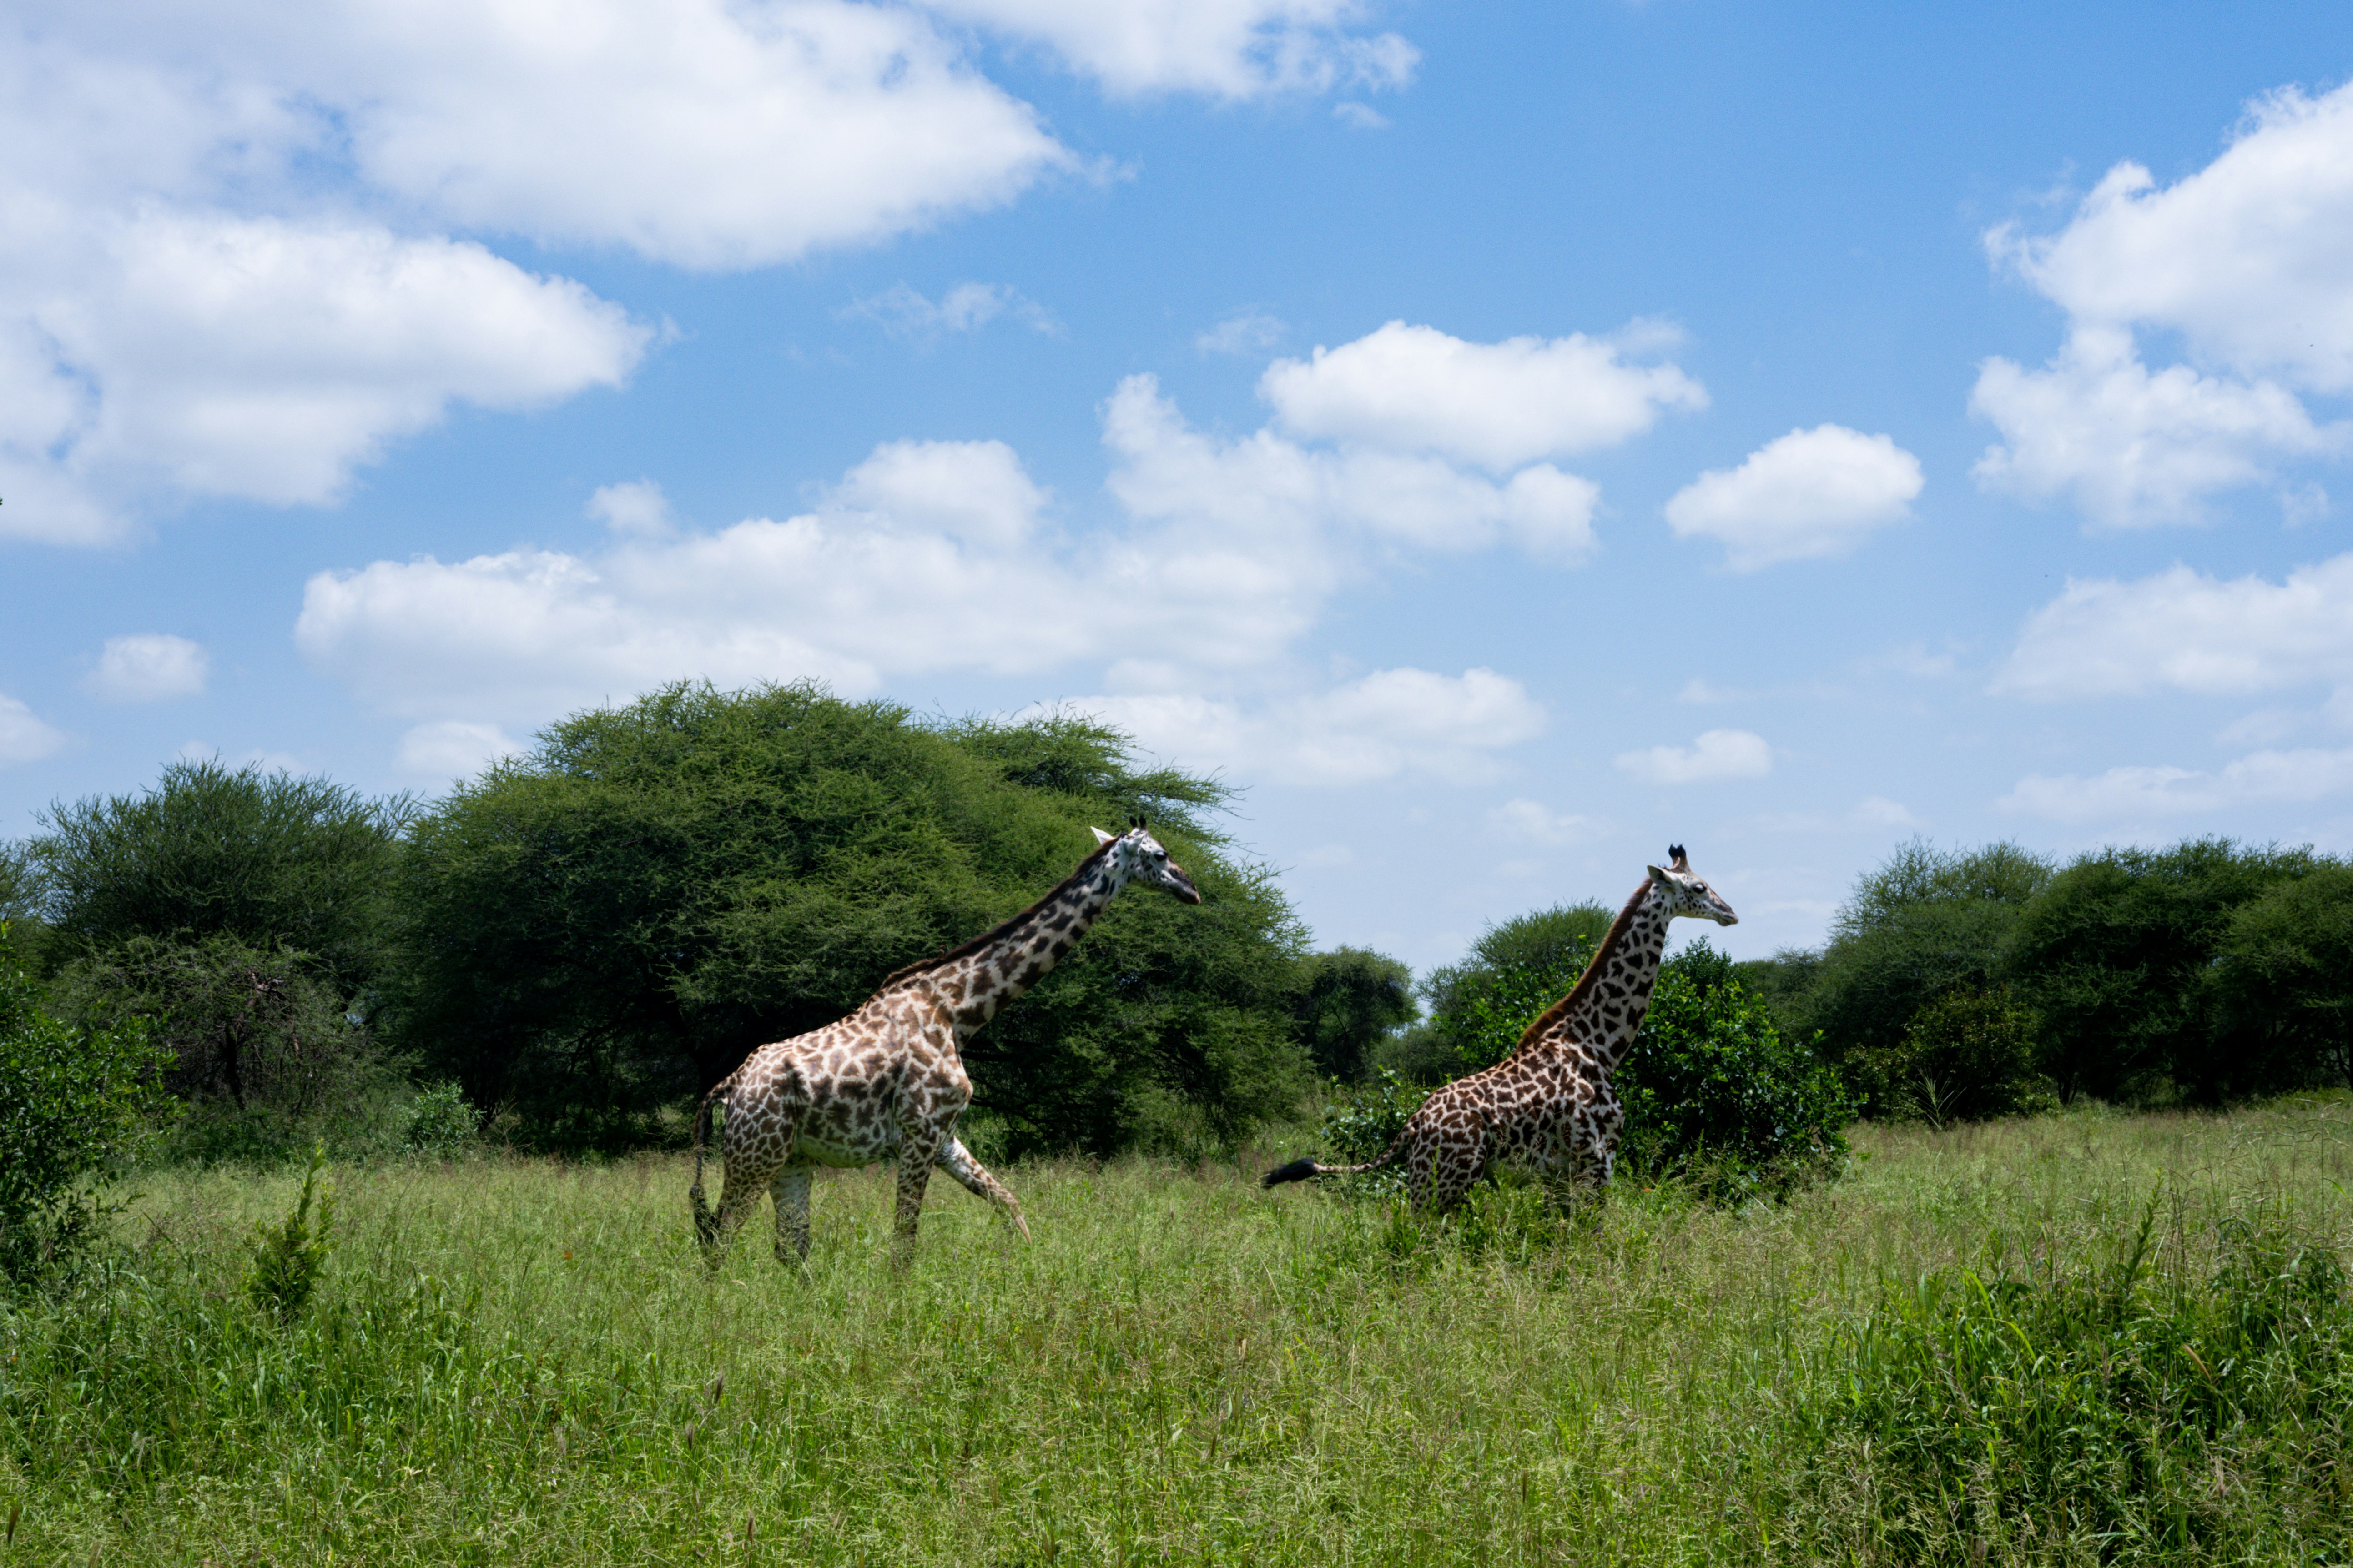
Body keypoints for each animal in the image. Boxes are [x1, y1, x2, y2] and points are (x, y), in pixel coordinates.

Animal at [690, 821, 1201, 1266]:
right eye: (1161, 855)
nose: (1191, 890)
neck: (956, 1011)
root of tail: (727, 1088)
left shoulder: (946, 1135)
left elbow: (1010, 1205)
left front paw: (1027, 1267)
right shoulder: (920, 1130)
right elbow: (904, 1243)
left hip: (792, 1159)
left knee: (789, 1249)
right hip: (756, 1154)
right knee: (720, 1237)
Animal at [1263, 846, 1736, 1211]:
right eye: (1698, 887)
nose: (1730, 912)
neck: (1599, 1046)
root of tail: (1412, 1125)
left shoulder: (1558, 1172)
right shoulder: (1597, 1158)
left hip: (1432, 1182)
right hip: (1446, 1182)